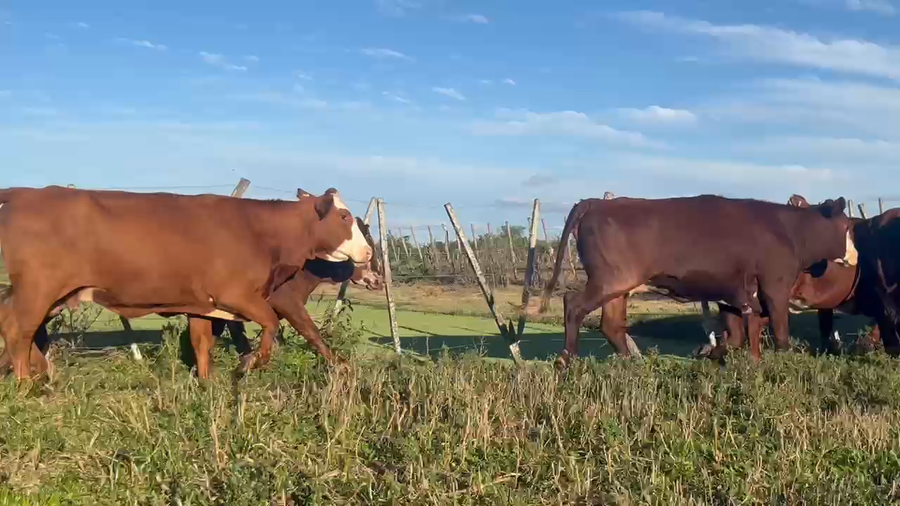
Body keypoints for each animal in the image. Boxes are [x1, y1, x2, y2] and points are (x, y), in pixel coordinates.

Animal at [0, 185, 372, 380]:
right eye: (343, 217)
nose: (368, 251)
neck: (259, 231)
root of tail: (26, 192)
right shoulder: (237, 294)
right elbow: (269, 323)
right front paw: (250, 363)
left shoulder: (202, 305)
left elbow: (201, 343)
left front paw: (207, 384)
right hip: (39, 289)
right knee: (19, 329)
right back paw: (26, 382)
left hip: (51, 294)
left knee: (12, 324)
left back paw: (39, 372)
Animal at [526, 194, 857, 368]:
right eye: (846, 226)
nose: (855, 256)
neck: (791, 230)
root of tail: (597, 202)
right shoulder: (775, 286)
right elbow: (780, 329)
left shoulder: (733, 292)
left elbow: (735, 335)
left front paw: (713, 353)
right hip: (609, 280)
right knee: (573, 304)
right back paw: (567, 359)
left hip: (619, 286)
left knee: (610, 323)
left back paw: (632, 363)